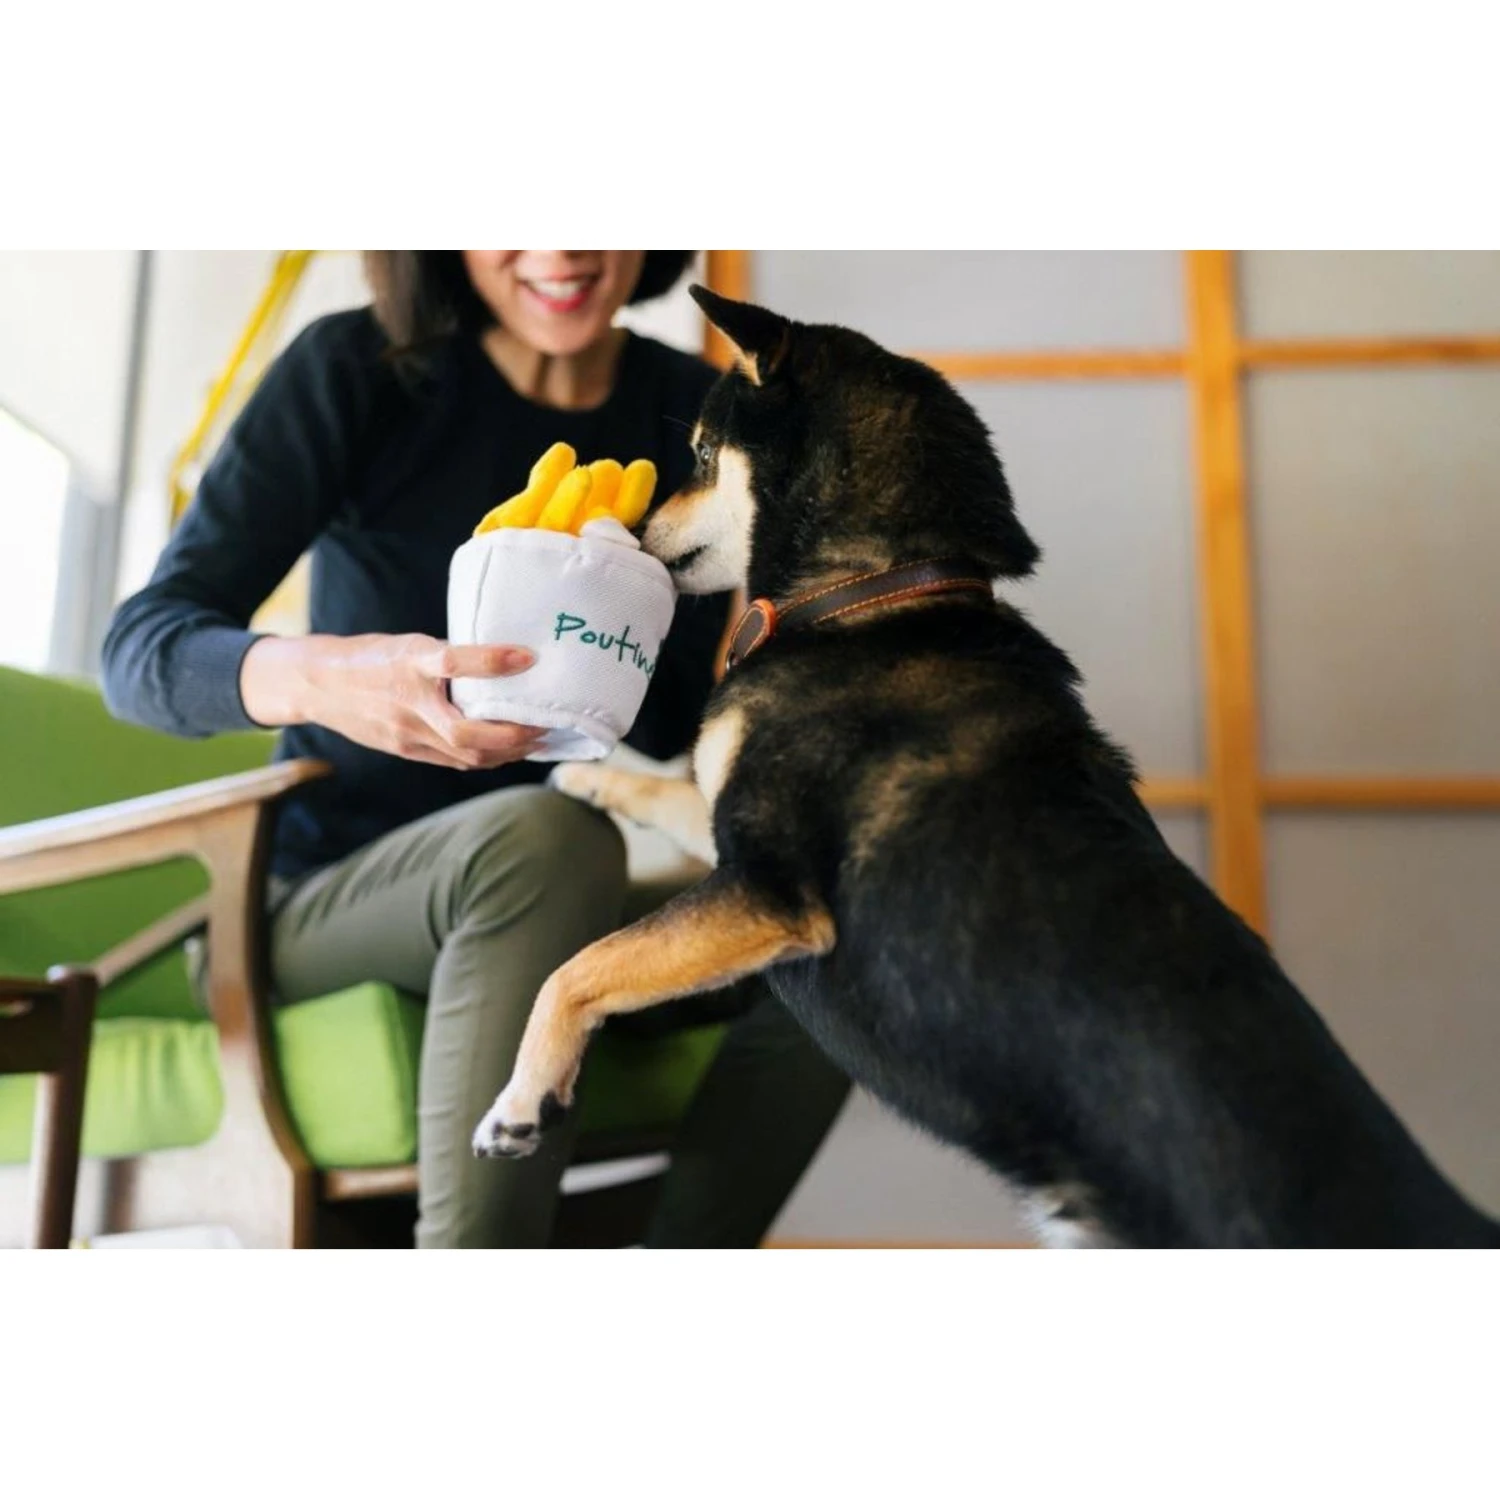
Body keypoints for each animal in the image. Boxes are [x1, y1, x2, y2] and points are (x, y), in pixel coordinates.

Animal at [473, 286, 1499, 1248]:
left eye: (696, 452)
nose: (637, 527)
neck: (873, 593)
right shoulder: (733, 842)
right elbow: (668, 791)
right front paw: (585, 777)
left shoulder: (768, 892)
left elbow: (576, 967)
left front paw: (521, 1102)